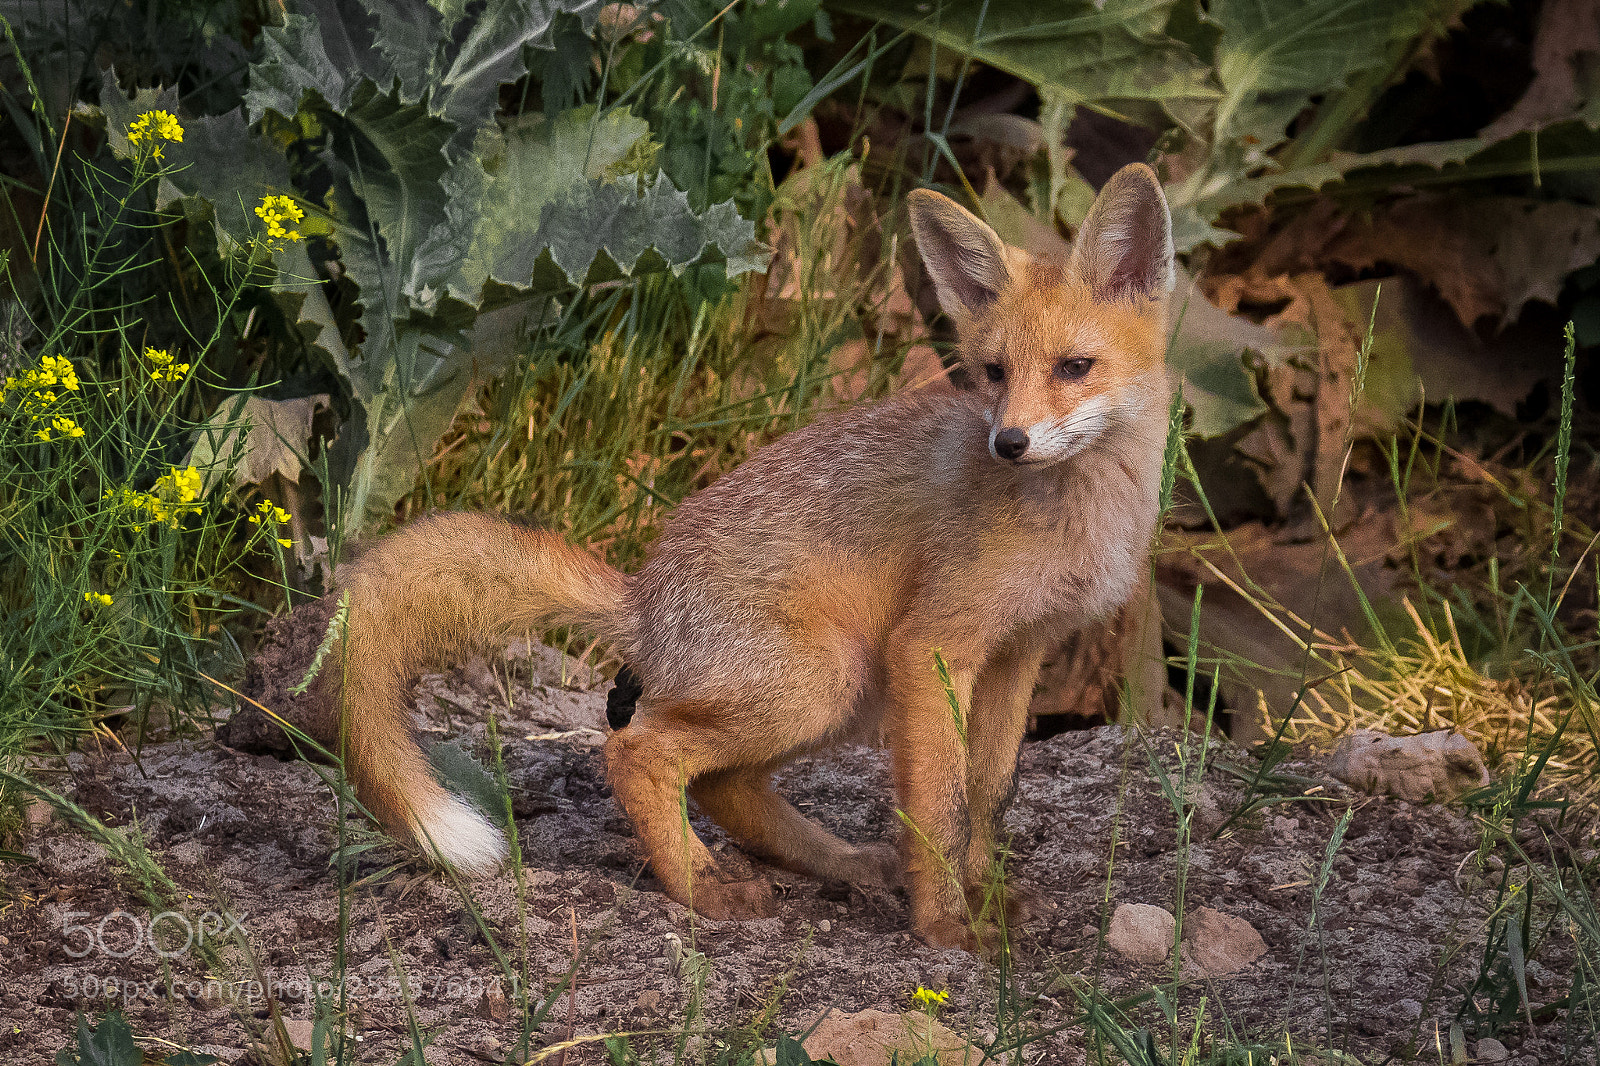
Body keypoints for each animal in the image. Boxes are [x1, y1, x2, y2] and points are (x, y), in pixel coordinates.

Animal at [307, 162, 1176, 950]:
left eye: (1074, 367)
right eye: (993, 372)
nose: (1009, 441)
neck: (1076, 521)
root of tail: (646, 593)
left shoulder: (1018, 653)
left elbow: (989, 794)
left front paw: (986, 895)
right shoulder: (934, 645)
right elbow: (941, 805)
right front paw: (949, 927)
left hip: (848, 694)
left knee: (725, 785)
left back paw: (837, 863)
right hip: (827, 681)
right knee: (637, 751)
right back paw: (701, 888)